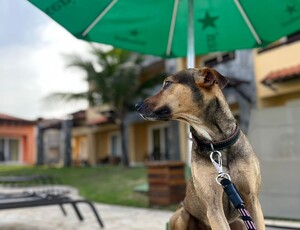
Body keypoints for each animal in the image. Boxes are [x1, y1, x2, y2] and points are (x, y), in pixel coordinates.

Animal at [136, 67, 264, 229]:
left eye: (167, 83)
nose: (136, 106)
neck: (216, 144)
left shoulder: (252, 199)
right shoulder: (213, 205)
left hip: (240, 221)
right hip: (181, 215)